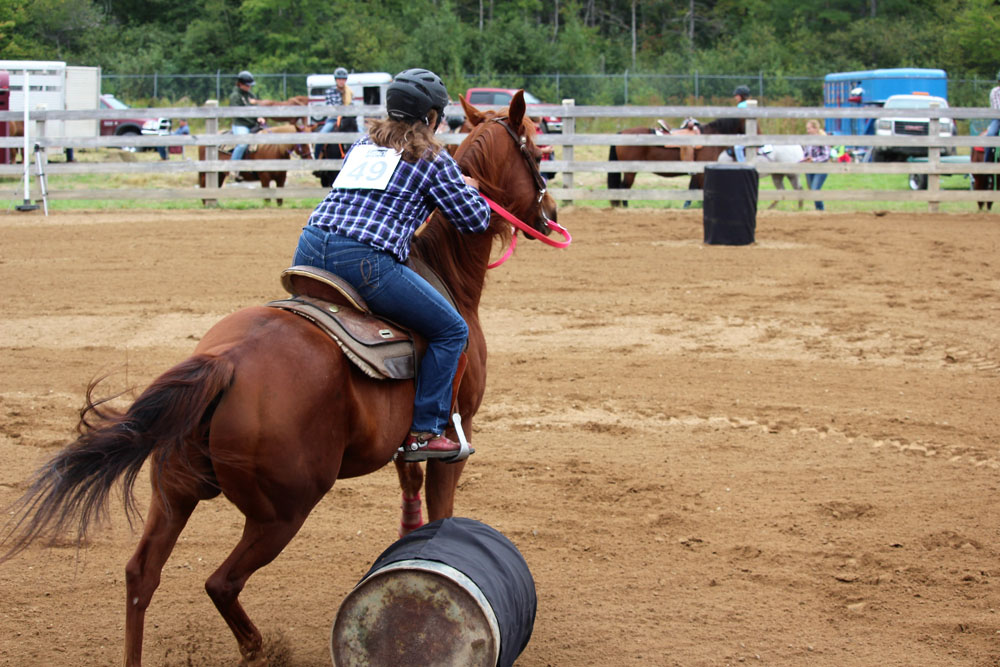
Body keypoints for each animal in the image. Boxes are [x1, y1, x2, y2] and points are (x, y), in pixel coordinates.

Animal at [0, 90, 557, 667]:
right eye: (536, 151)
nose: (552, 213)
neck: (448, 275)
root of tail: (226, 363)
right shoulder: (454, 432)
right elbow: (441, 508)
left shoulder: (406, 444)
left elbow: (411, 493)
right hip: (281, 512)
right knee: (220, 582)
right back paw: (259, 647)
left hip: (174, 491)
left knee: (140, 575)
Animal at [606, 117, 745, 207]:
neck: (710, 138)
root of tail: (622, 132)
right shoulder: (701, 172)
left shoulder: (697, 173)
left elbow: (693, 188)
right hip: (630, 171)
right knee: (624, 188)